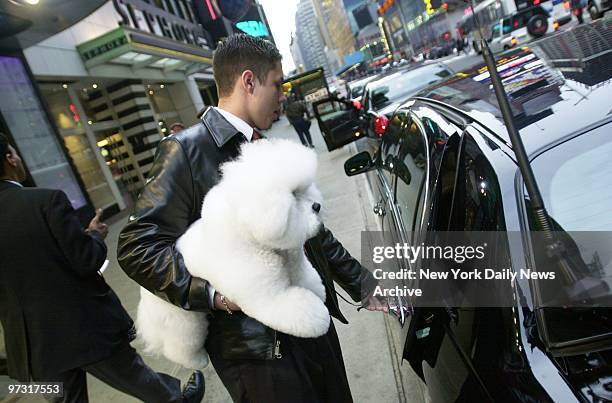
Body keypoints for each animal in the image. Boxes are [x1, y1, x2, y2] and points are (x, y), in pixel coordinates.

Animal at [137, 139, 332, 370]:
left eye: (305, 189)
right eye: (293, 195)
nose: (317, 206)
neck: (254, 240)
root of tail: (145, 294)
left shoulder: (297, 268)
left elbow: (308, 281)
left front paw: (319, 293)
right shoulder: (270, 296)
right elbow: (300, 309)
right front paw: (321, 319)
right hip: (183, 319)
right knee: (179, 345)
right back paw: (197, 361)